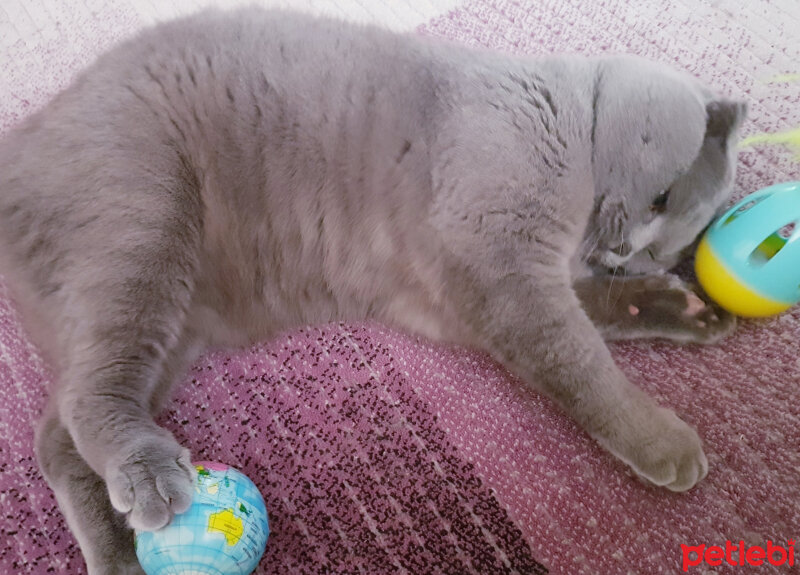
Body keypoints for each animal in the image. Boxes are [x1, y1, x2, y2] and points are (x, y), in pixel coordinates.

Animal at [0, 6, 744, 572]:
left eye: (664, 248)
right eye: (661, 197)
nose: (626, 253)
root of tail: (23, 140)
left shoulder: (461, 294)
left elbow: (591, 318)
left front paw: (681, 306)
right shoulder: (500, 261)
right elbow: (577, 360)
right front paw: (665, 443)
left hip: (169, 320)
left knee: (58, 432)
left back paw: (120, 554)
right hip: (142, 225)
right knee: (89, 402)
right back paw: (149, 479)